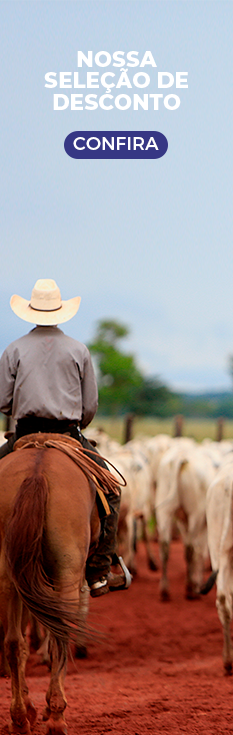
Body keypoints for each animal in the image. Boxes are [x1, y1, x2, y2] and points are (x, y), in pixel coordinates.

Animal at [0, 434, 100, 732]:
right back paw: (56, 715)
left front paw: (30, 708)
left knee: (13, 641)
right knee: (60, 635)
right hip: (66, 572)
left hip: (9, 575)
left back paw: (20, 717)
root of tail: (36, 473)